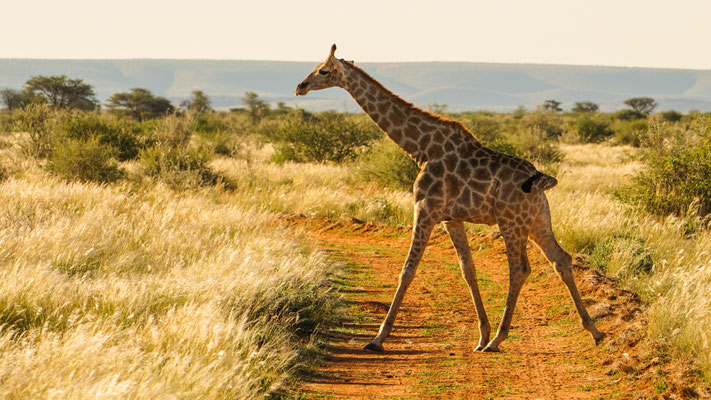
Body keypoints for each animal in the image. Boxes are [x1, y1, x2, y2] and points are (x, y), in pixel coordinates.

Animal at [295, 44, 605, 352]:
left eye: (323, 70)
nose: (300, 86)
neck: (421, 149)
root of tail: (541, 180)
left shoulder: (425, 209)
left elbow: (408, 270)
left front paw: (377, 338)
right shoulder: (451, 219)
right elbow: (468, 270)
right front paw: (481, 335)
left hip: (511, 221)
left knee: (519, 269)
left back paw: (499, 339)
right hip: (538, 220)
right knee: (561, 259)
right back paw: (593, 331)